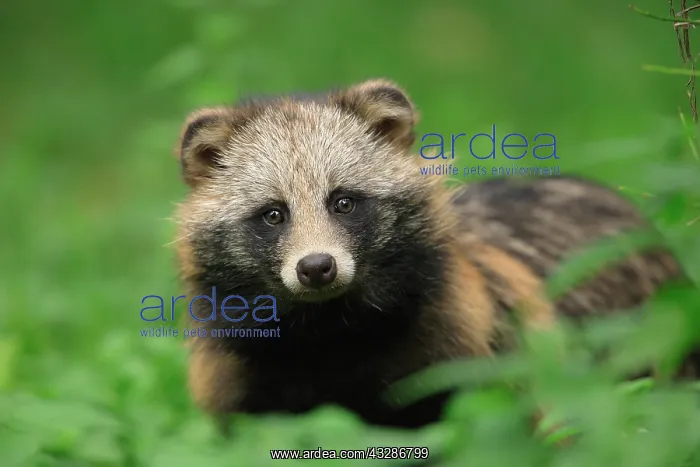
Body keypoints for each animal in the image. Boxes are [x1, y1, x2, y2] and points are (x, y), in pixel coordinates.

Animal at [174, 79, 688, 429]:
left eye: (344, 202)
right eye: (273, 214)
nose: (317, 268)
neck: (327, 330)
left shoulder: (458, 352)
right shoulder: (239, 386)